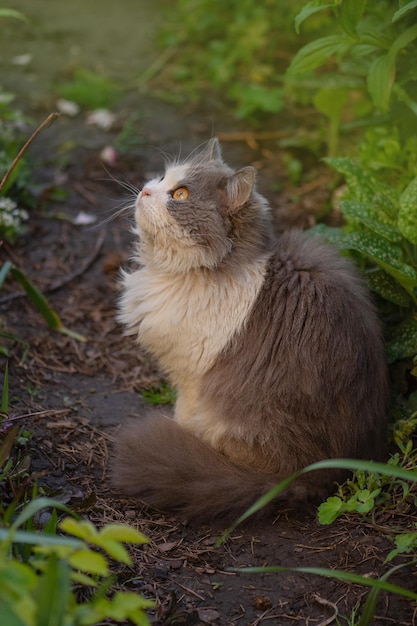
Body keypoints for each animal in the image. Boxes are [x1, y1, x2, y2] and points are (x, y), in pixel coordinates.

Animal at [112, 139, 388, 520]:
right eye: (162, 177)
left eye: (180, 194)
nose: (144, 190)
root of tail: (320, 473)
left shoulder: (191, 378)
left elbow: (183, 410)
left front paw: (179, 429)